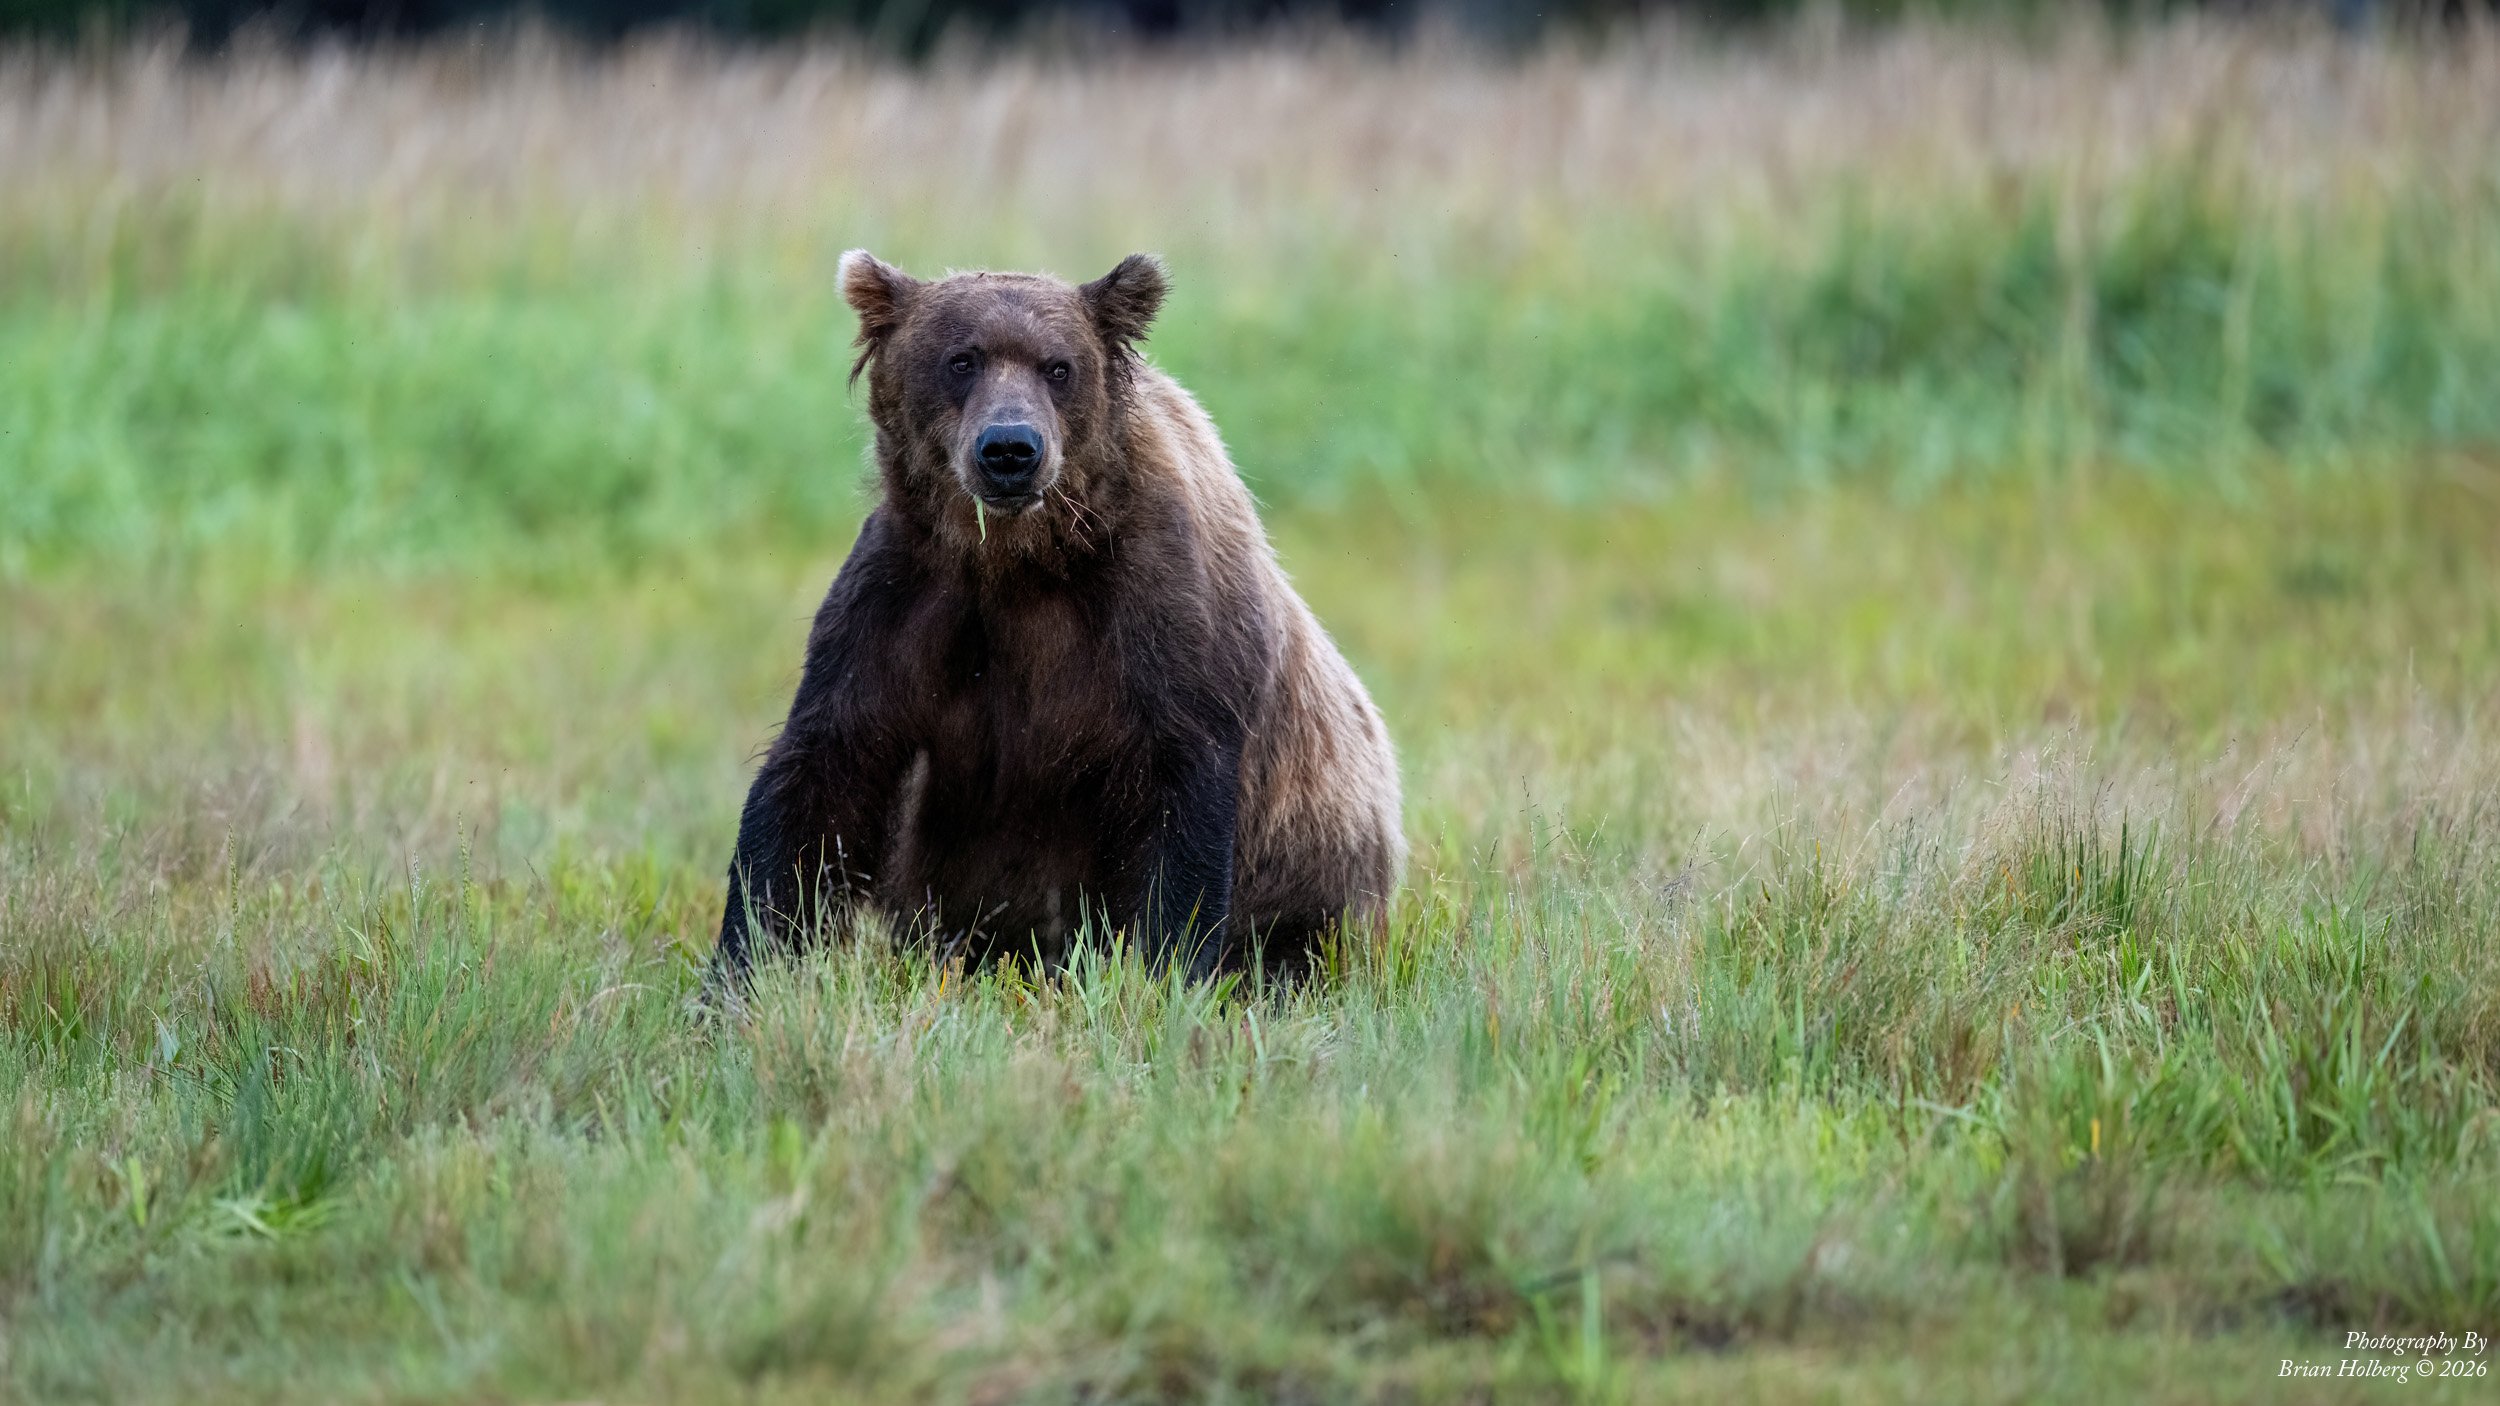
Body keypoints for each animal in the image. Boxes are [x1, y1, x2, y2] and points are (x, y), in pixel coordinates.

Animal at [711, 251, 1405, 982]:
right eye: (962, 359)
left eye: (1058, 366)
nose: (1010, 449)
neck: (1021, 561)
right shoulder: (904, 600)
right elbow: (822, 779)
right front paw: (744, 965)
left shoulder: (1162, 612)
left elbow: (1178, 800)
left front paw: (1162, 970)